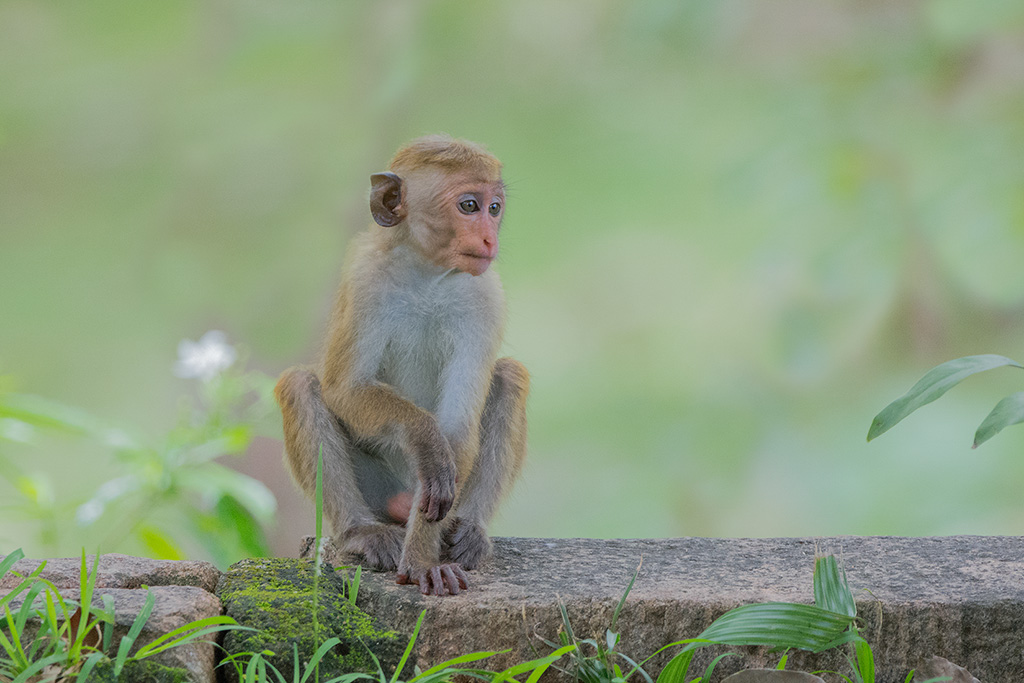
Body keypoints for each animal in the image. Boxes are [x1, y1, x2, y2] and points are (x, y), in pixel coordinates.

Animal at [275, 135, 529, 596]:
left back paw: (469, 530)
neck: (427, 275)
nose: (488, 239)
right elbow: (345, 388)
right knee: (300, 385)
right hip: (378, 486)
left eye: (494, 207)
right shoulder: (365, 280)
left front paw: (422, 559)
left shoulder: (485, 298)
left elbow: (458, 425)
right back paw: (363, 531)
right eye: (469, 206)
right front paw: (426, 439)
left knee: (509, 377)